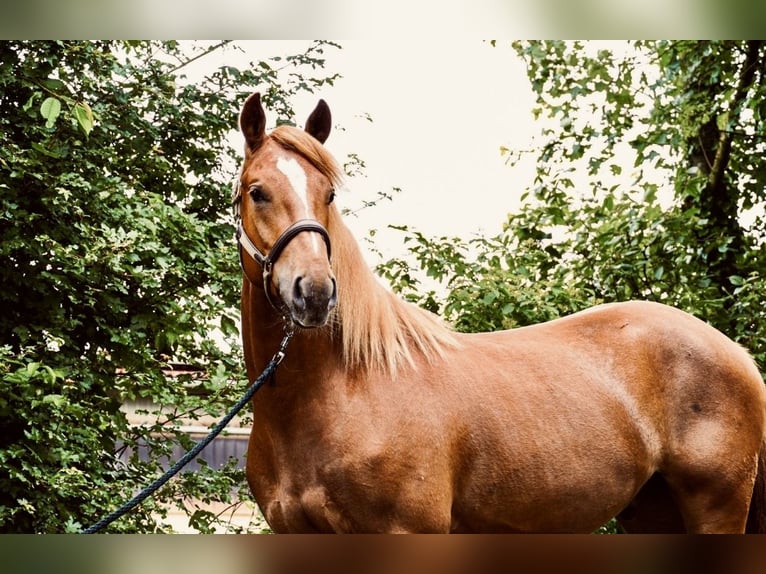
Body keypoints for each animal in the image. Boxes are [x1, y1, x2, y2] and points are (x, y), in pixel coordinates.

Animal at [234, 91, 766, 536]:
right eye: (257, 191)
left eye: (329, 193)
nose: (315, 293)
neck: (340, 389)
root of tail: (738, 355)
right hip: (654, 511)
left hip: (716, 509)